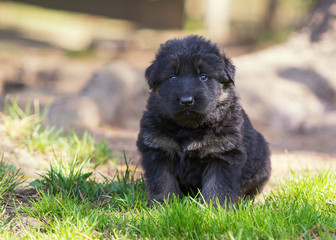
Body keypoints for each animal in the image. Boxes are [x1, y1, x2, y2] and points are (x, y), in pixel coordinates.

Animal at [136, 35, 270, 206]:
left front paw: (216, 208)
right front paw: (163, 205)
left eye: (203, 76)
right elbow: (162, 182)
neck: (188, 128)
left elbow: (217, 185)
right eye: (172, 77)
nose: (186, 101)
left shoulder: (223, 153)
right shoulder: (158, 149)